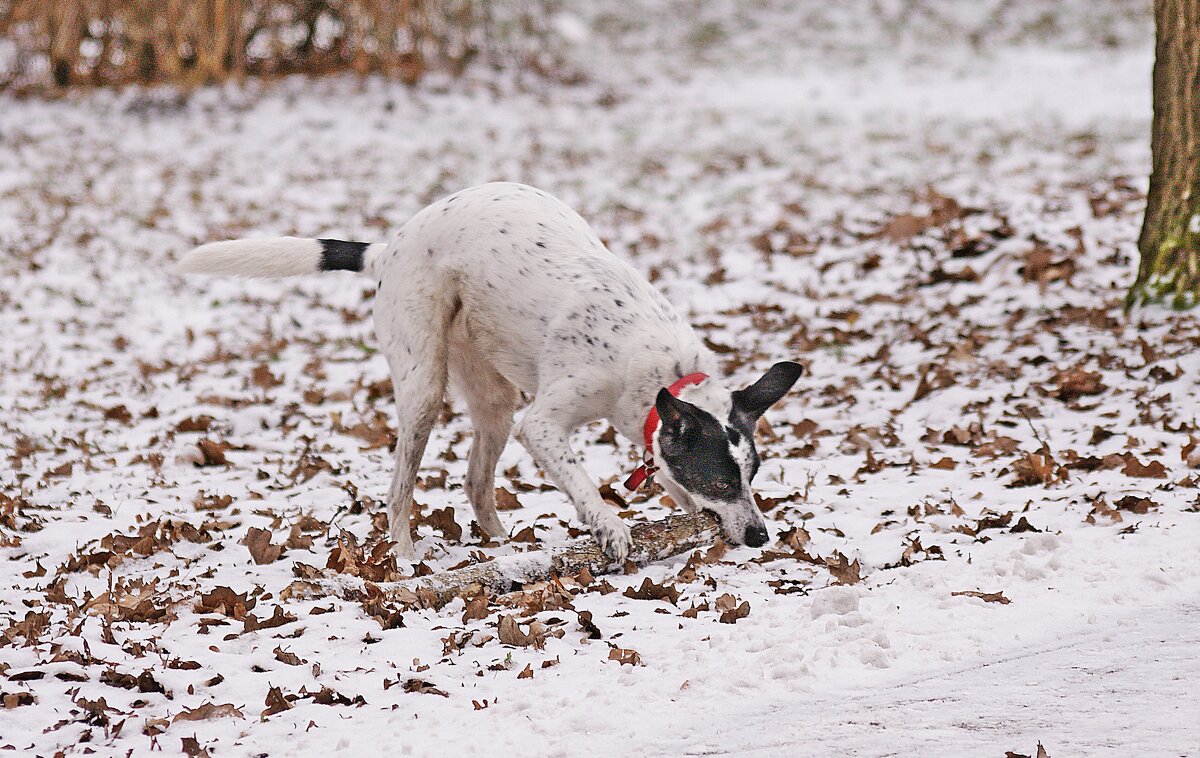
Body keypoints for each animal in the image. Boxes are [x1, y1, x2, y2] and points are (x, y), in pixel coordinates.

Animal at [177, 182, 801, 563]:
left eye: (752, 477)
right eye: (721, 481)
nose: (760, 535)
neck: (660, 371)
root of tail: (391, 245)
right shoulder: (543, 425)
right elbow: (581, 483)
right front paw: (609, 526)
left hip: (492, 398)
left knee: (477, 482)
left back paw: (503, 546)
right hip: (425, 387)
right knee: (399, 490)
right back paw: (406, 557)